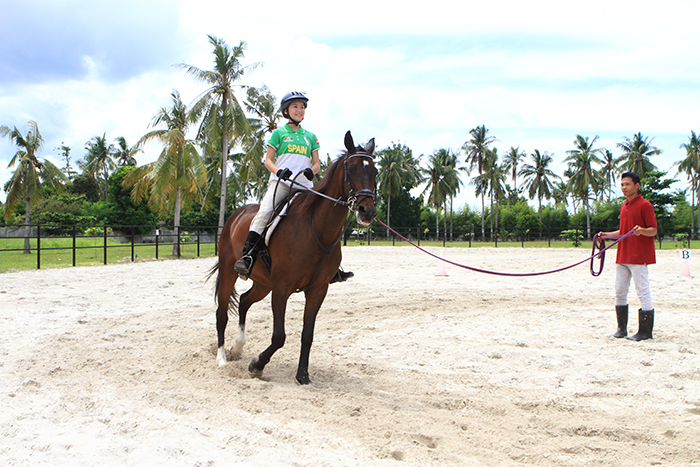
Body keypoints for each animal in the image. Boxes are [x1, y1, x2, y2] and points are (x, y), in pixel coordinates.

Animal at [209, 131, 378, 384]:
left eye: (374, 171)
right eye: (352, 168)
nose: (367, 211)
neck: (315, 230)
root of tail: (236, 215)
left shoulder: (317, 290)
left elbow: (307, 334)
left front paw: (303, 375)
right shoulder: (281, 287)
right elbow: (279, 336)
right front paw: (257, 365)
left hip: (263, 283)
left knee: (245, 301)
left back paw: (237, 347)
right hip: (231, 271)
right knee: (222, 313)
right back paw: (221, 358)